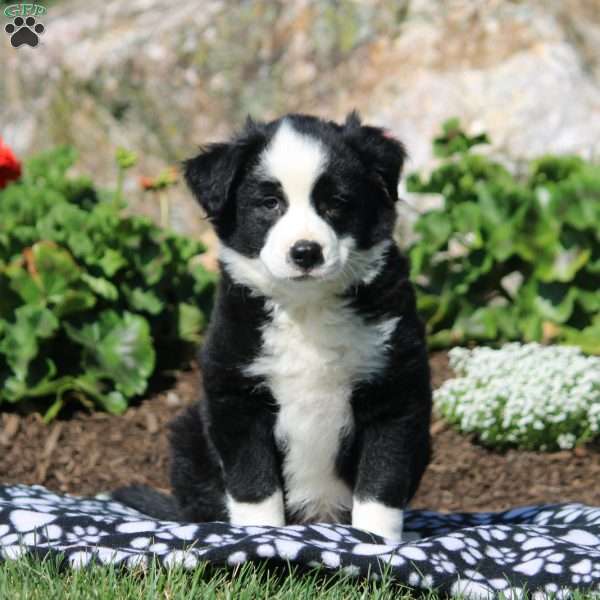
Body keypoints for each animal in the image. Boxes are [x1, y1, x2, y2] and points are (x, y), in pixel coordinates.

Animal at [113, 111, 432, 540]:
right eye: (270, 203)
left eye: (336, 203)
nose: (305, 252)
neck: (307, 307)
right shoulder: (237, 393)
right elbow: (254, 482)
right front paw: (258, 538)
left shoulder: (394, 389)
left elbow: (380, 481)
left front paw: (376, 541)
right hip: (188, 436)